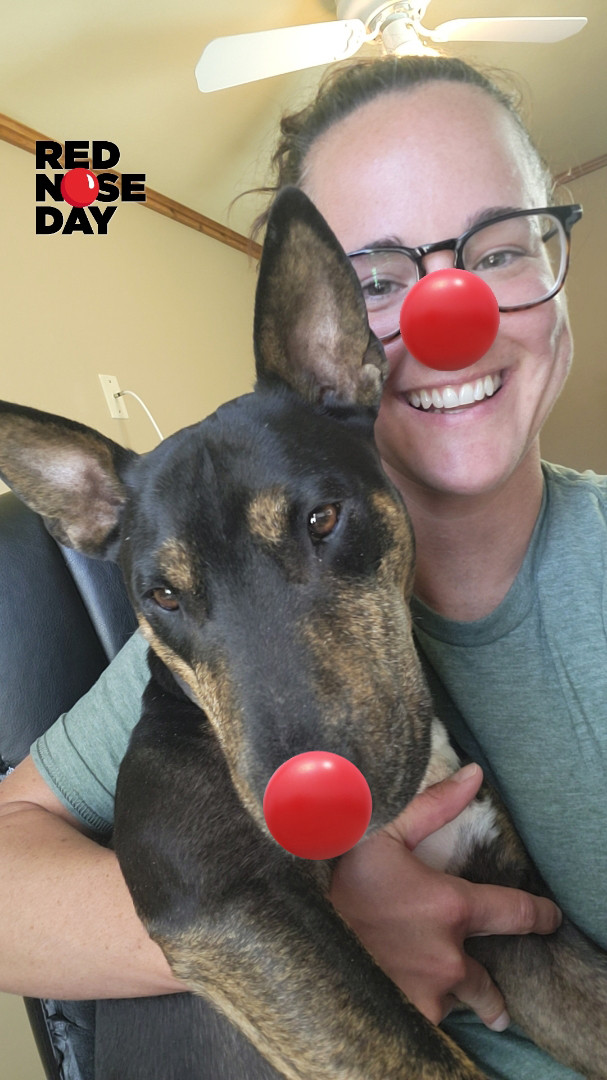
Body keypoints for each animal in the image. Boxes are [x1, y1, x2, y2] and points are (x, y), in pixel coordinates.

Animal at [1, 187, 604, 1080]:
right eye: (162, 595)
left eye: (322, 519)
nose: (311, 807)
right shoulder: (229, 904)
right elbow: (423, 1060)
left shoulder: (511, 916)